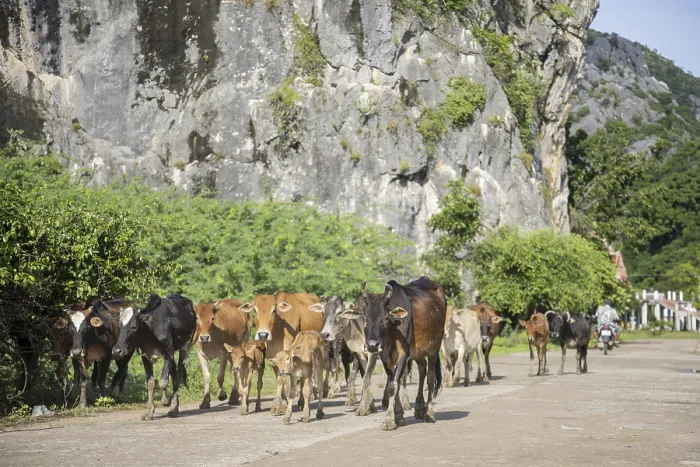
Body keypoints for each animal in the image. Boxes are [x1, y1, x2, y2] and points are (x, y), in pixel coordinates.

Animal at [339, 277, 446, 431]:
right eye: (364, 318)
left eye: (385, 318)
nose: (372, 345)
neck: (392, 329)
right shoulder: (385, 357)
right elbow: (393, 383)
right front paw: (399, 415)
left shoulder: (403, 354)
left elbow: (393, 386)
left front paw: (389, 420)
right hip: (418, 352)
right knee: (422, 369)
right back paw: (419, 408)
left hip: (434, 349)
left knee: (430, 378)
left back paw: (429, 413)